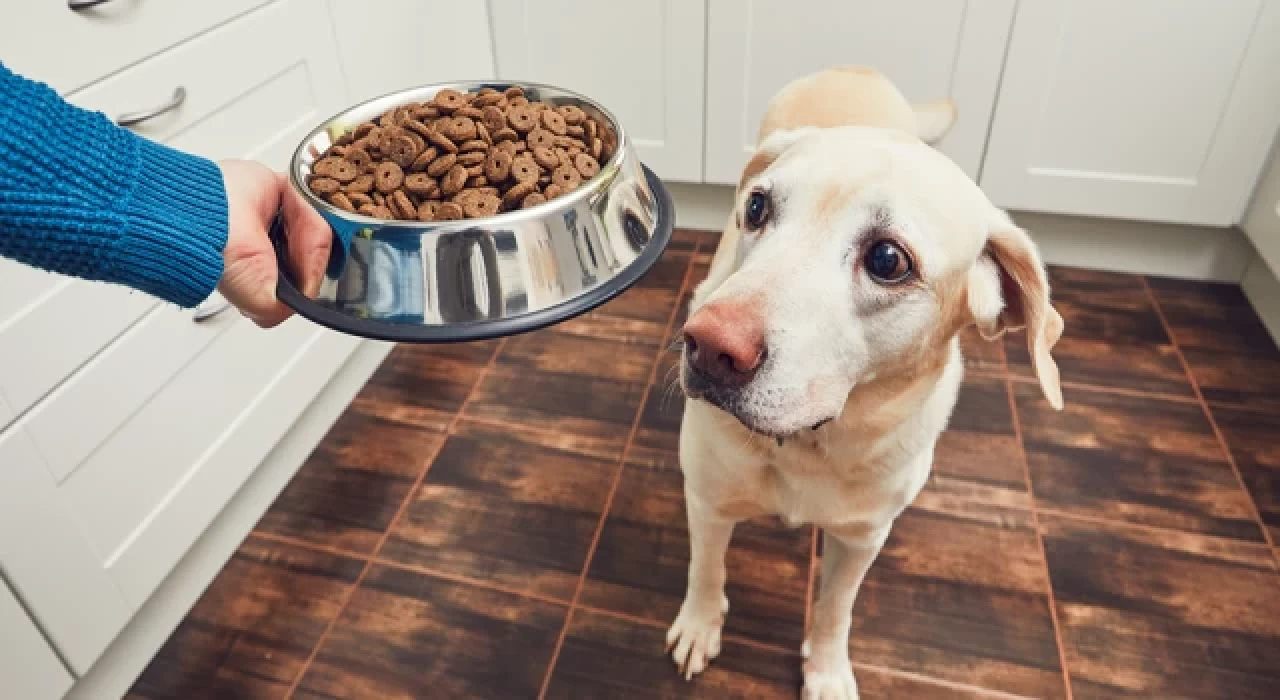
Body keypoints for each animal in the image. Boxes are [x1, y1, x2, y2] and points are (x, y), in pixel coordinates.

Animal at [665, 67, 1064, 700]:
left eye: (887, 260)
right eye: (757, 207)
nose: (706, 345)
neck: (810, 444)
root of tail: (854, 69)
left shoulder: (862, 538)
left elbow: (835, 610)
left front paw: (827, 671)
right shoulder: (707, 498)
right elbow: (706, 570)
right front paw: (700, 626)